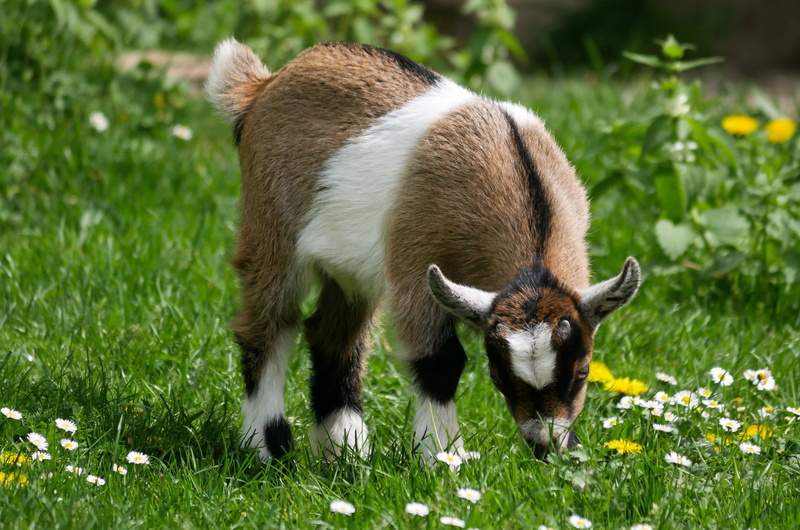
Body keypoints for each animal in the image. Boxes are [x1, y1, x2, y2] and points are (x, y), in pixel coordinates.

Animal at [205, 38, 641, 461]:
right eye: (497, 376)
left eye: (582, 372)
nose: (543, 446)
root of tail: (263, 85)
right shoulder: (414, 265)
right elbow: (441, 361)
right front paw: (442, 457)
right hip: (270, 226)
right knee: (268, 324)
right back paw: (268, 448)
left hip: (349, 270)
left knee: (334, 336)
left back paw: (346, 449)